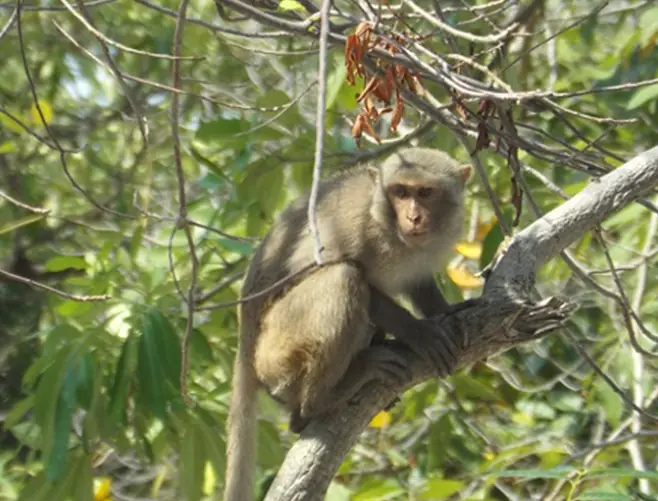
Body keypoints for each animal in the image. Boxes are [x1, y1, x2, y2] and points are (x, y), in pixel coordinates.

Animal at [223, 147, 471, 501]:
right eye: (400, 192)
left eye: (425, 192)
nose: (413, 217)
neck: (388, 229)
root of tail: (246, 348)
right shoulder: (349, 223)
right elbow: (320, 268)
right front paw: (419, 332)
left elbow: (419, 281)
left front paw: (445, 309)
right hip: (276, 350)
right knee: (343, 277)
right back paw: (321, 400)